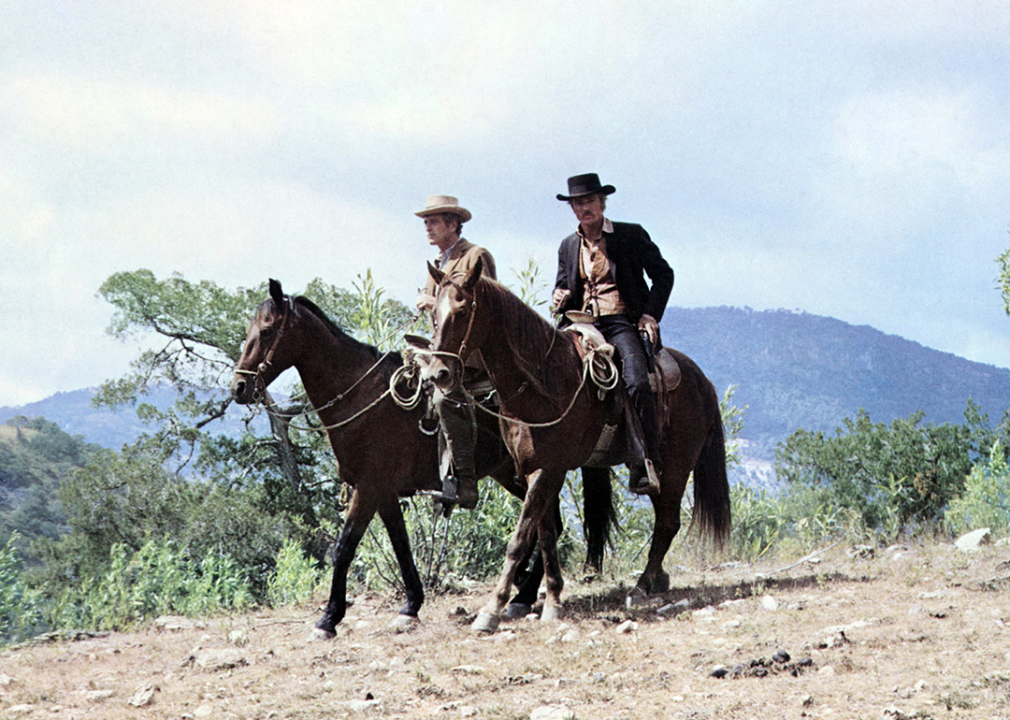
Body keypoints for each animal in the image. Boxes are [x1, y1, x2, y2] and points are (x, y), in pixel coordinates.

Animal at [422, 258, 731, 630]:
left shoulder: (549, 469)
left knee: (667, 524)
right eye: (433, 313)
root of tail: (703, 381)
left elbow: (521, 538)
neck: (543, 380)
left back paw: (641, 586)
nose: (437, 374)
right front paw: (550, 600)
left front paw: (492, 609)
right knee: (665, 523)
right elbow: (545, 534)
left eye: (464, 309)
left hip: (674, 469)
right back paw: (654, 581)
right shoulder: (534, 470)